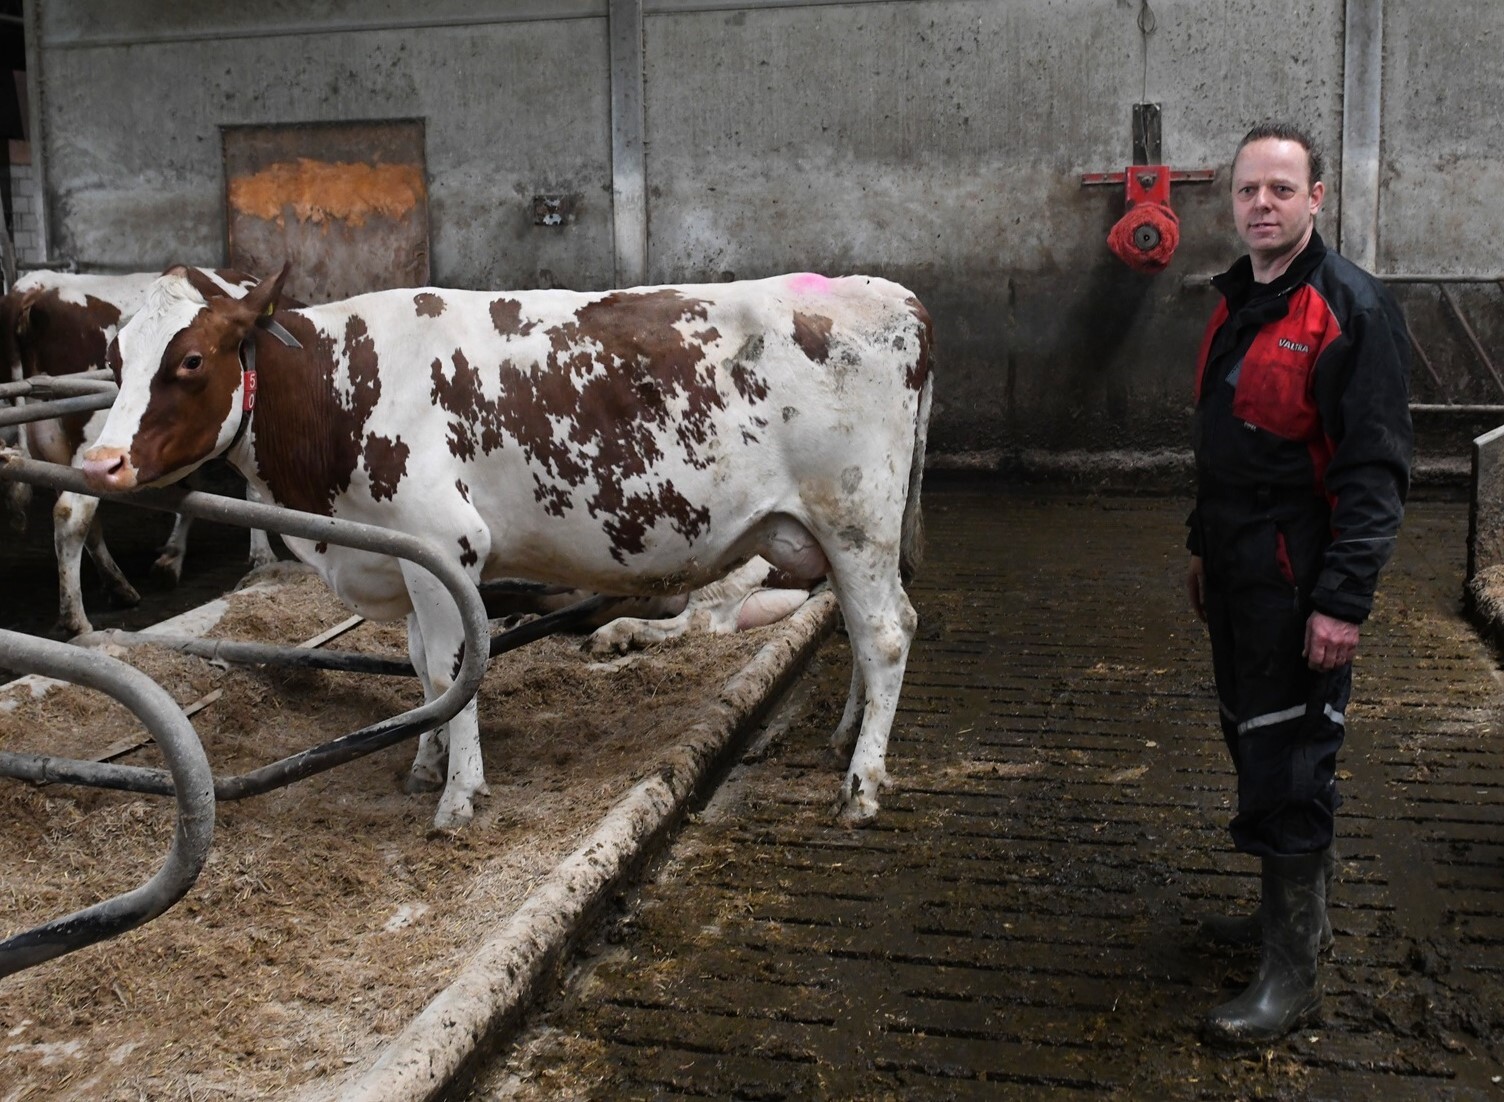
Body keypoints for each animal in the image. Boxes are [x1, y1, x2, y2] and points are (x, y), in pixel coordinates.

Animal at [0, 267, 279, 631]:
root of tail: (35, 283)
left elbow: (191, 491)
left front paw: (171, 557)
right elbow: (252, 491)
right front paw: (262, 558)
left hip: (54, 446)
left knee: (85, 517)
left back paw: (118, 585)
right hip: (94, 442)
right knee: (71, 513)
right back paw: (76, 619)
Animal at [85, 266, 926, 823]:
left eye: (191, 360)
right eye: (116, 359)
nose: (101, 463)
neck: (341, 390)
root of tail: (892, 292)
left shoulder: (442, 540)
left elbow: (453, 669)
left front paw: (459, 796)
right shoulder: (402, 551)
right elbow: (422, 667)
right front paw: (425, 763)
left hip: (854, 517)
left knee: (886, 632)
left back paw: (862, 784)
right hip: (831, 536)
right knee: (859, 627)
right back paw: (843, 739)